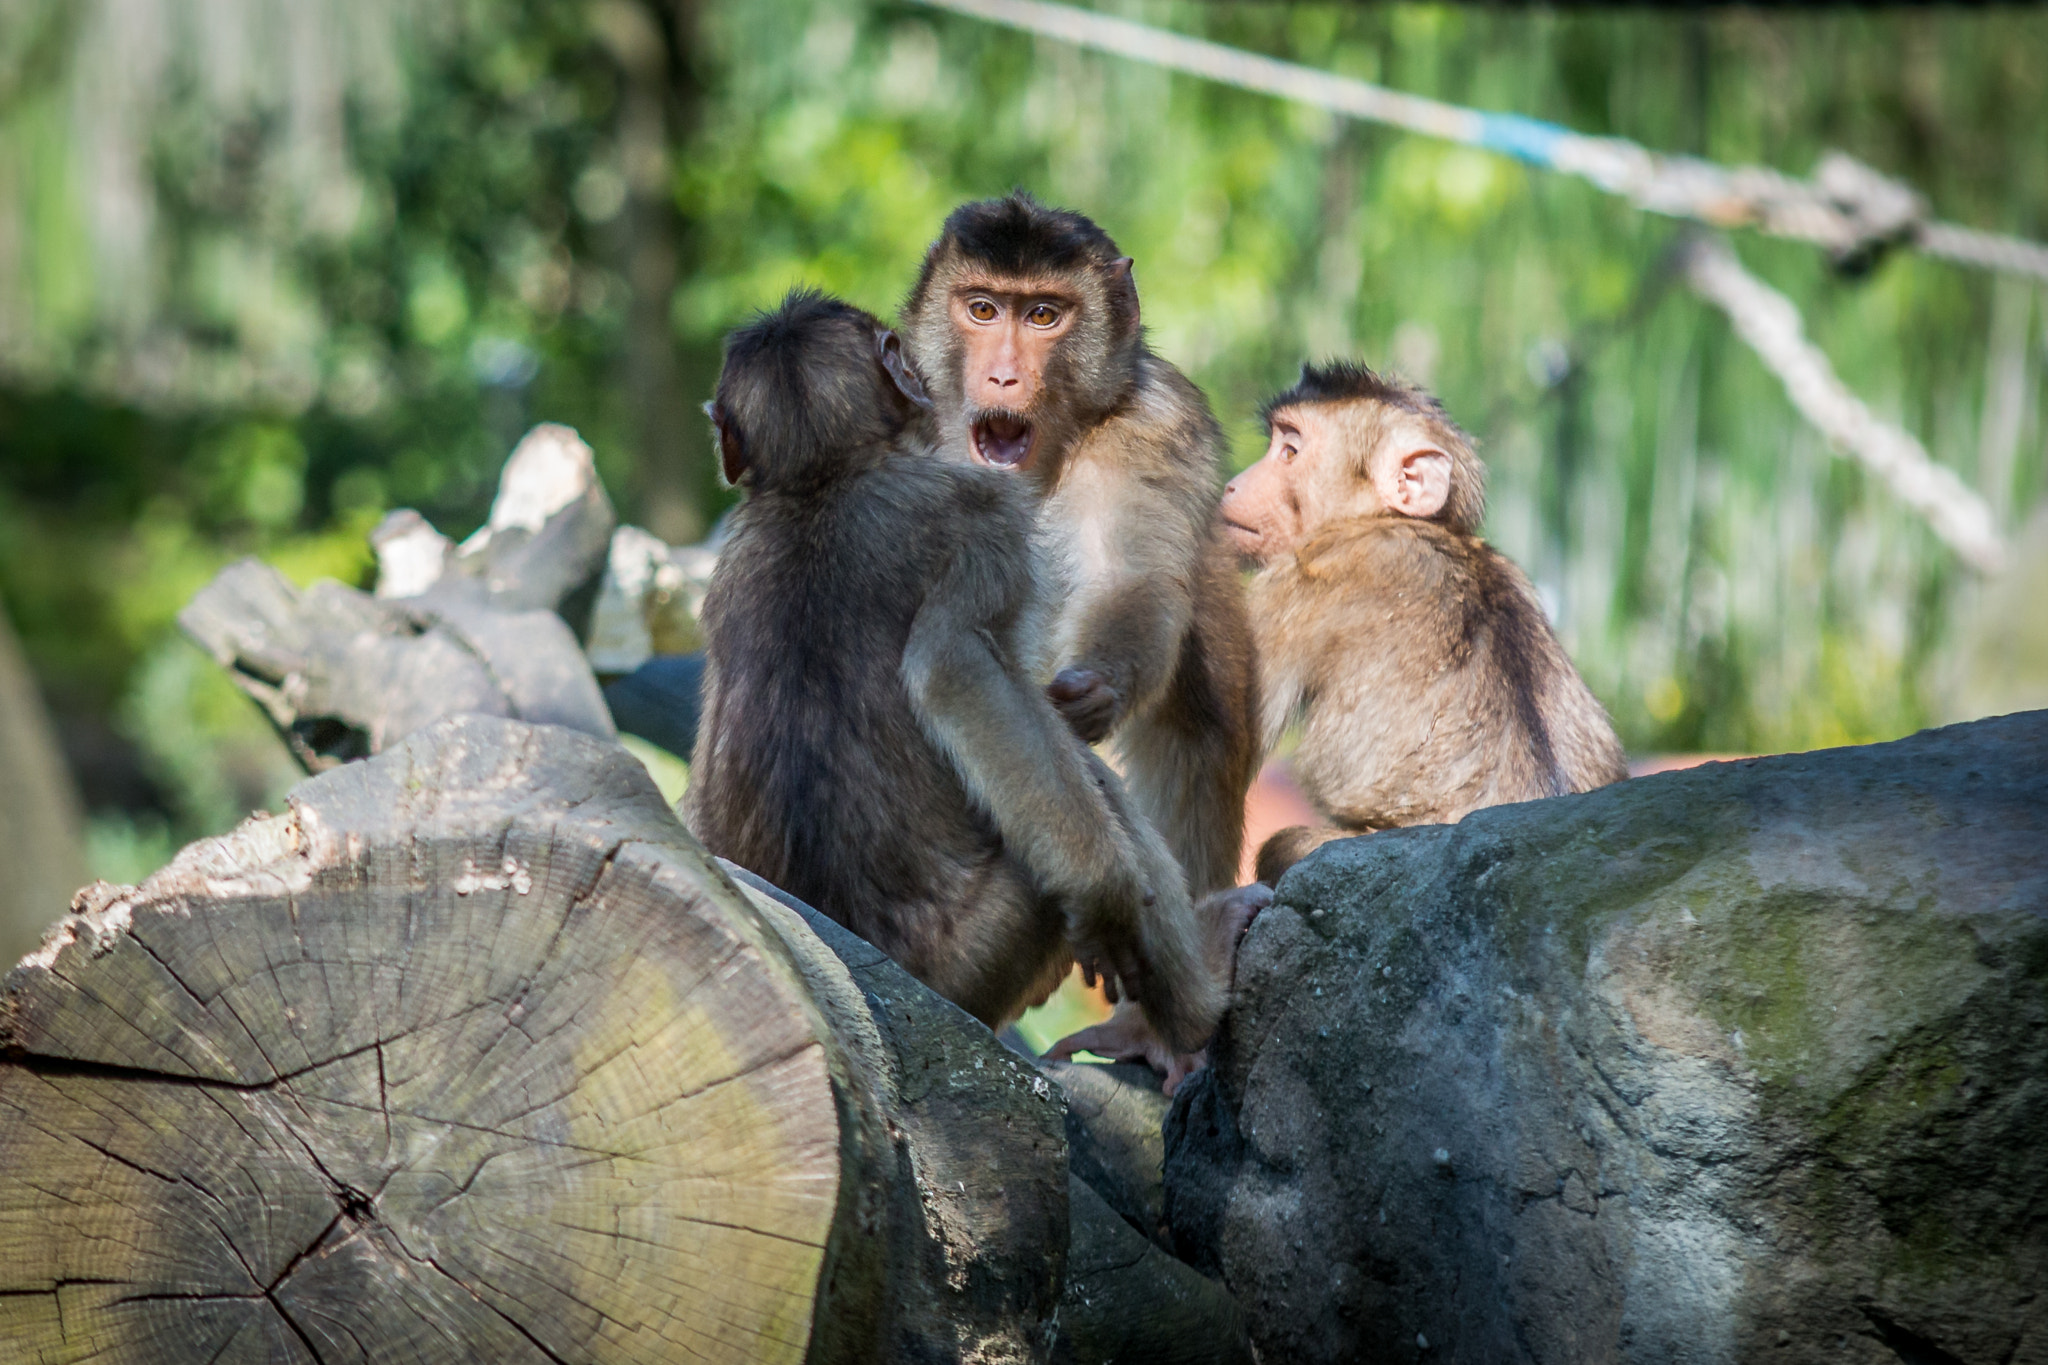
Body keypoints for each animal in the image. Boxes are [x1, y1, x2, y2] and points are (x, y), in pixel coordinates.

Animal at [688, 290, 1228, 1055]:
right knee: (1090, 782)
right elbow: (953, 667)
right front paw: (1109, 895)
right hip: (976, 956)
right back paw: (1195, 1019)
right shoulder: (988, 513)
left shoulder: (727, 565)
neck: (825, 479)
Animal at [901, 189, 1261, 896]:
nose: (1005, 377)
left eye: (1043, 315)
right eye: (982, 309)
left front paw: (1098, 690)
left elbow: (1130, 579)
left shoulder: (1155, 423)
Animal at [1212, 358, 1630, 888]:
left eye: (1289, 451)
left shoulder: (1301, 576)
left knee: (1286, 846)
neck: (1393, 519)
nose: (1232, 484)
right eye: (1277, 443)